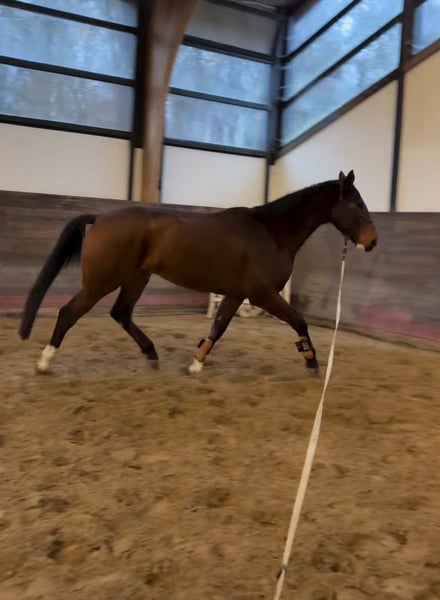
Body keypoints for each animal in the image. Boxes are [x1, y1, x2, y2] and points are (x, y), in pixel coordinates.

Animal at [19, 170, 377, 375]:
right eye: (357, 204)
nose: (372, 241)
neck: (271, 232)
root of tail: (100, 218)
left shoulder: (237, 294)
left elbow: (218, 327)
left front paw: (195, 364)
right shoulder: (262, 295)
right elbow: (299, 321)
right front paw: (312, 361)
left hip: (135, 278)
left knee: (121, 313)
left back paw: (151, 354)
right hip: (101, 281)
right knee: (68, 312)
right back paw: (44, 362)